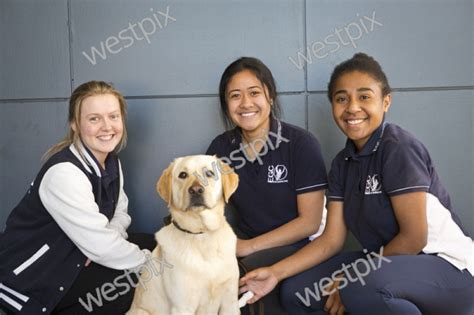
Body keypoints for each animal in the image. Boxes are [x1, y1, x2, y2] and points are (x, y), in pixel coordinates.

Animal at [128, 156, 241, 315]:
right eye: (183, 175)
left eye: (209, 173)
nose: (196, 190)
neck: (201, 234)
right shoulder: (183, 306)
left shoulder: (230, 302)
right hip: (141, 311)